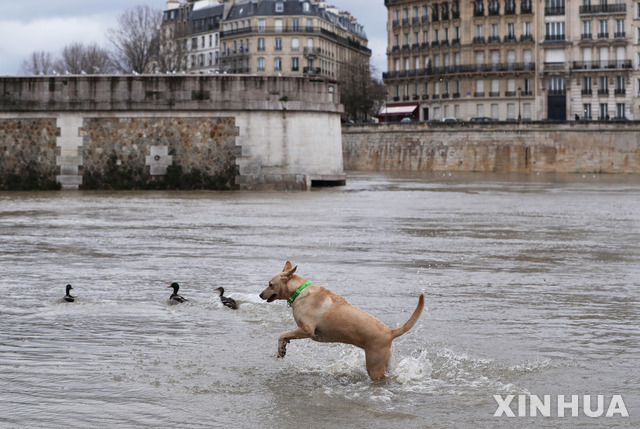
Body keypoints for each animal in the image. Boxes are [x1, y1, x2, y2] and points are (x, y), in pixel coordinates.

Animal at [260, 260, 424, 378]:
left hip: (375, 365)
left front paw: (281, 348)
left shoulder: (307, 330)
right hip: (385, 362)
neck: (298, 290)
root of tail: (390, 332)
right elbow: (286, 337)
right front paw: (283, 348)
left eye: (270, 284)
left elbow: (282, 335)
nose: (260, 294)